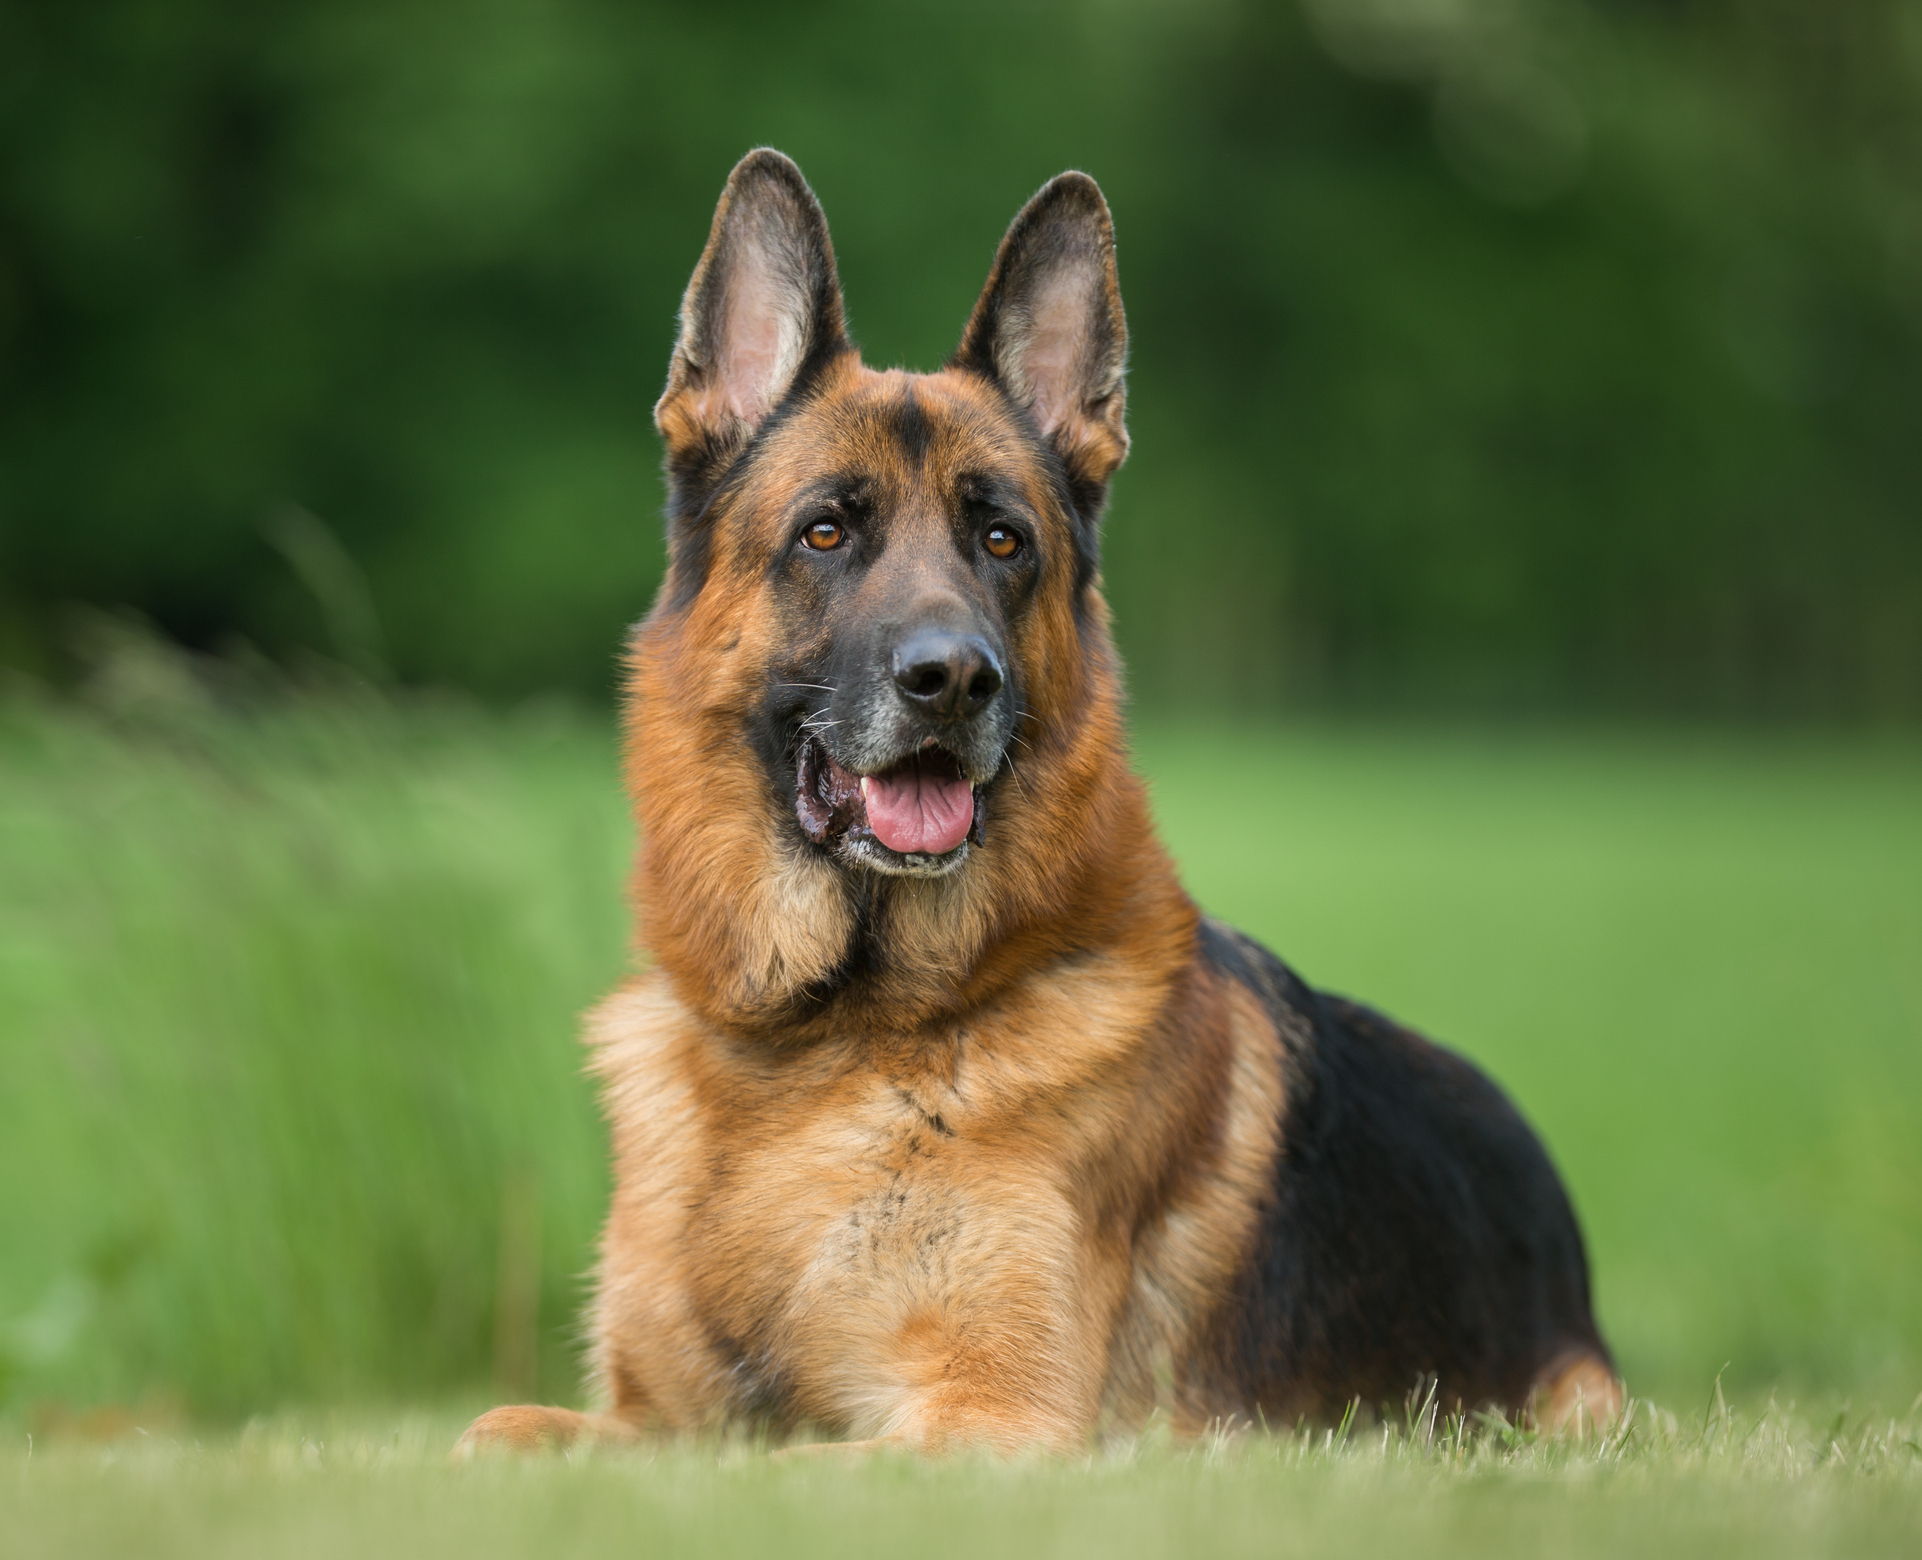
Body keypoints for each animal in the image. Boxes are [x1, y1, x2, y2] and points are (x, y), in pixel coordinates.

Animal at [457, 152, 1614, 1460]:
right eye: (823, 531)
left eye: (1003, 540)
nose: (953, 679)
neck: (816, 1048)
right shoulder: (651, 1417)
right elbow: (499, 1425)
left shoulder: (989, 1417)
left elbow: (795, 1453)